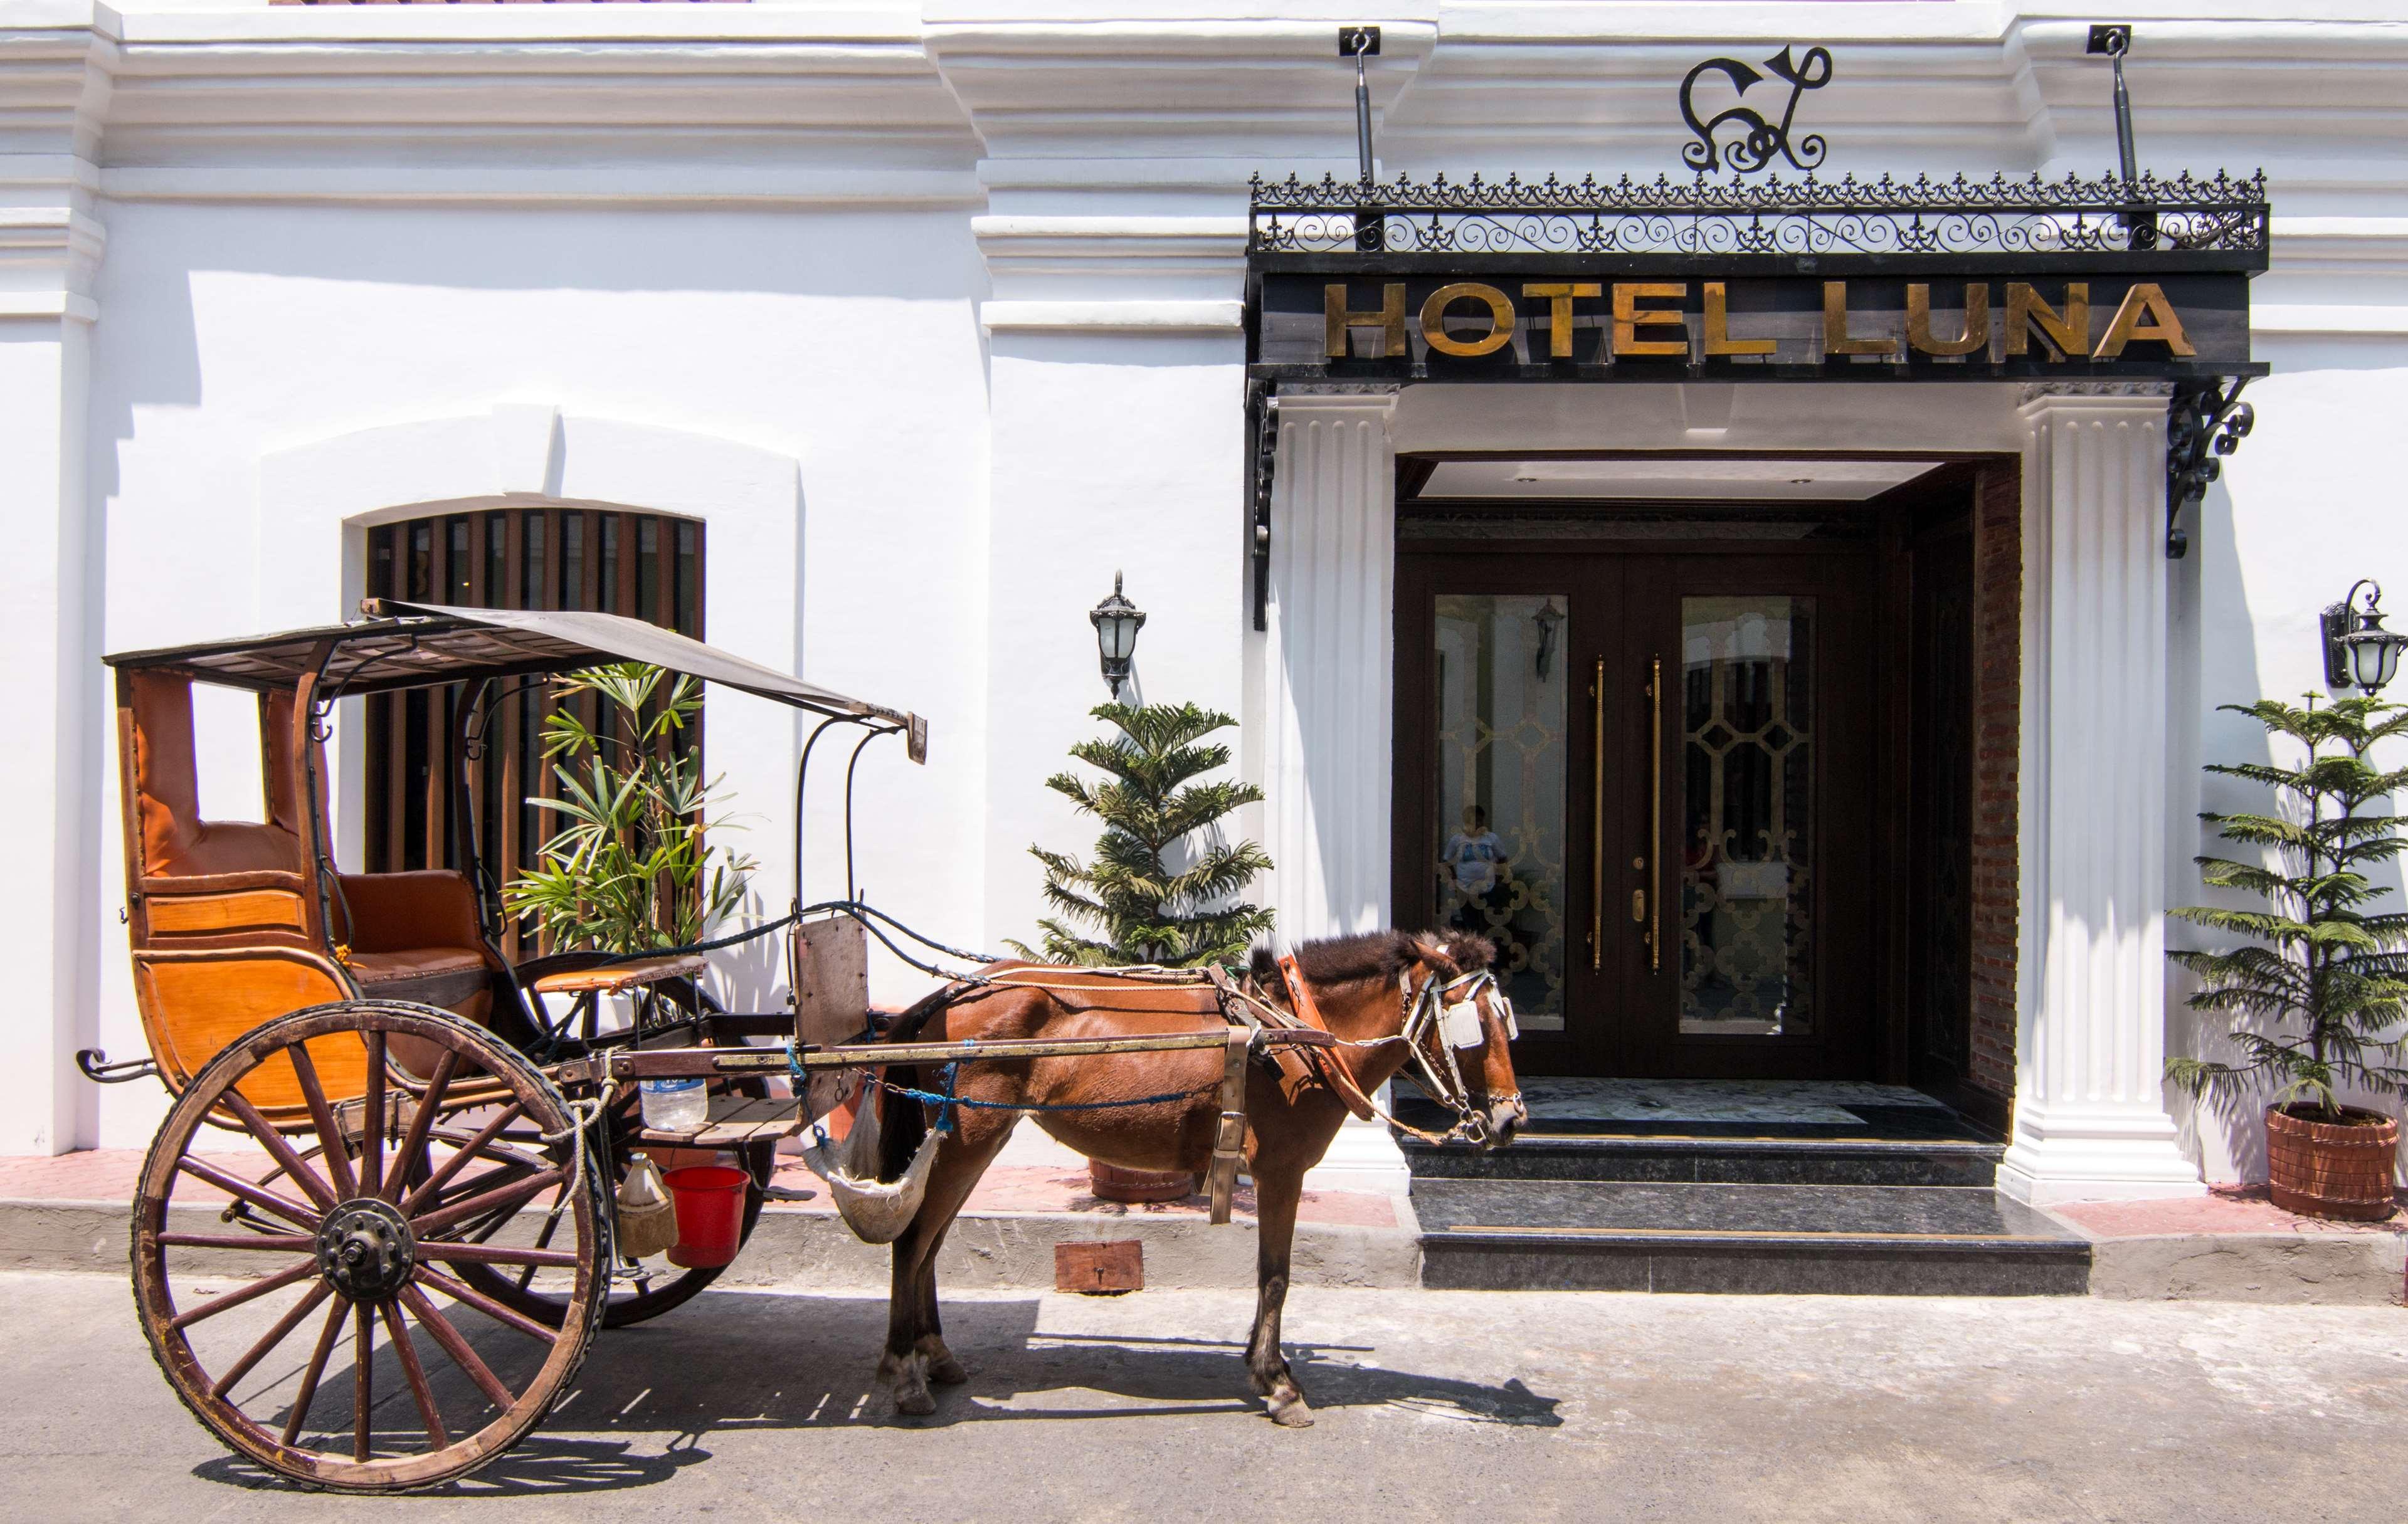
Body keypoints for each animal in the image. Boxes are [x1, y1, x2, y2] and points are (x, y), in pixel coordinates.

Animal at [862, 929, 1521, 1425]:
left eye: (1505, 1020)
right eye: (1471, 1024)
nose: (1511, 1118)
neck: (1294, 1033)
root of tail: (947, 996)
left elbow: (1271, 1277)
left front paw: (1266, 1368)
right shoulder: (1282, 1172)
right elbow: (1276, 1276)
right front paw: (1279, 1384)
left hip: (973, 1140)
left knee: (930, 1244)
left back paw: (935, 1354)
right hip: (966, 1140)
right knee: (912, 1243)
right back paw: (904, 1373)